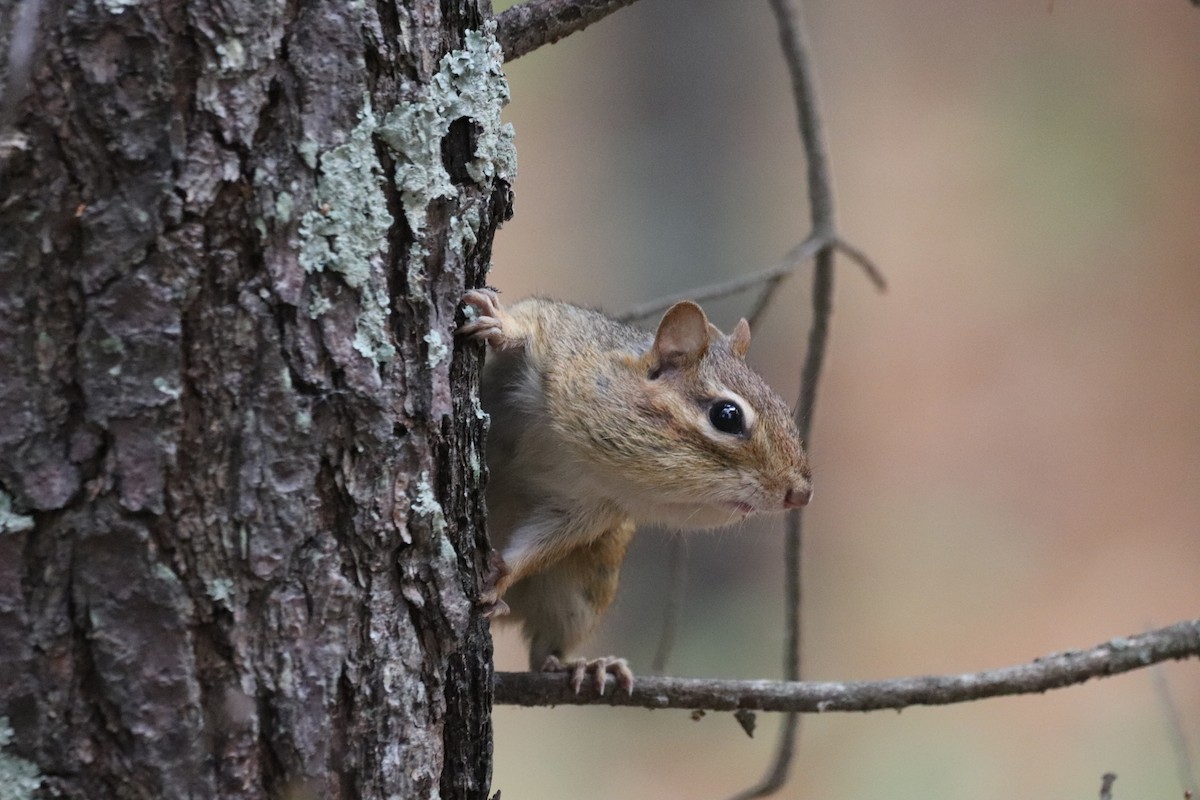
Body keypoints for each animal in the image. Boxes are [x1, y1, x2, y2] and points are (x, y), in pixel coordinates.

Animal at [457, 289, 812, 694]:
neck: (582, 456)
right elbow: (531, 320)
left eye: (784, 408)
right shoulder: (562, 334)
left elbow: (541, 544)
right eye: (727, 415)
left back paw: (579, 667)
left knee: (545, 650)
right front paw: (501, 324)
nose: (801, 494)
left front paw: (501, 575)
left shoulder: (587, 511)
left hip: (586, 583)